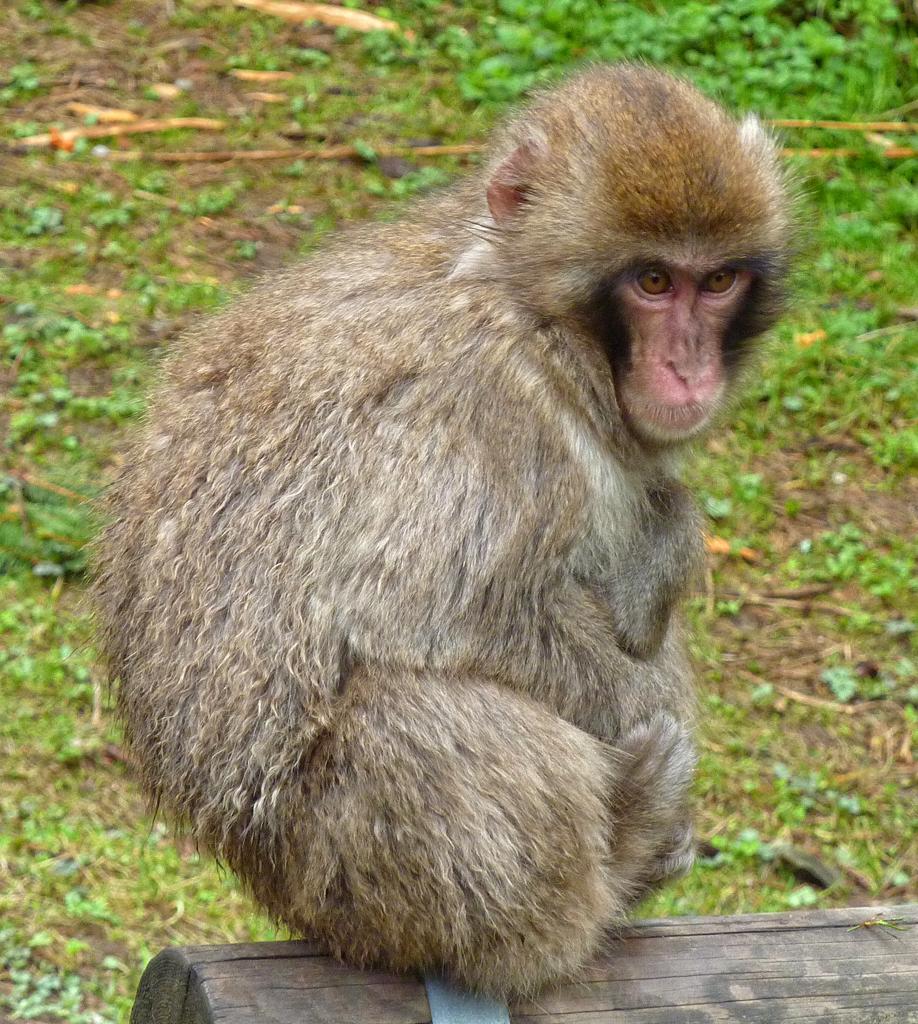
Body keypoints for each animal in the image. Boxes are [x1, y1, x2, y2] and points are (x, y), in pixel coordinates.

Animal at [94, 64, 792, 998]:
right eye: (652, 282)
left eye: (716, 282)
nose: (688, 367)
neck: (530, 308)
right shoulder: (486, 405)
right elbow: (434, 609)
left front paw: (668, 534)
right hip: (339, 871)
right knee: (413, 715)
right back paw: (617, 854)